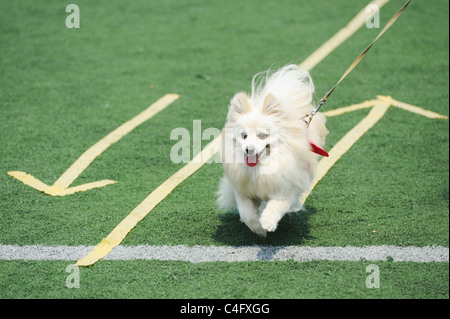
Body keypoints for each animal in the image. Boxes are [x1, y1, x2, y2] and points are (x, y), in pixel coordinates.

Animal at [217, 64, 326, 238]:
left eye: (262, 135)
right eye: (244, 135)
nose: (249, 149)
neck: (260, 168)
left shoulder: (285, 188)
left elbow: (275, 206)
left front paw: (267, 222)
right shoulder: (242, 191)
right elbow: (247, 213)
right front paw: (258, 230)